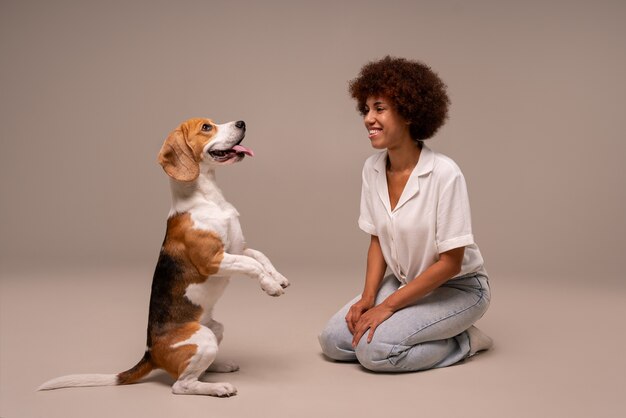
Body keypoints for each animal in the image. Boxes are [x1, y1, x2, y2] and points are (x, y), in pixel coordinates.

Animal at [40, 116, 288, 396]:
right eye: (206, 127)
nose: (241, 123)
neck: (209, 197)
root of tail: (151, 355)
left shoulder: (236, 248)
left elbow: (259, 256)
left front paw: (278, 278)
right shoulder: (213, 260)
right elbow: (251, 264)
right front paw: (270, 286)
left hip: (214, 329)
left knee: (196, 370)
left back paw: (219, 367)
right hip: (204, 339)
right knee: (181, 385)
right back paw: (217, 387)